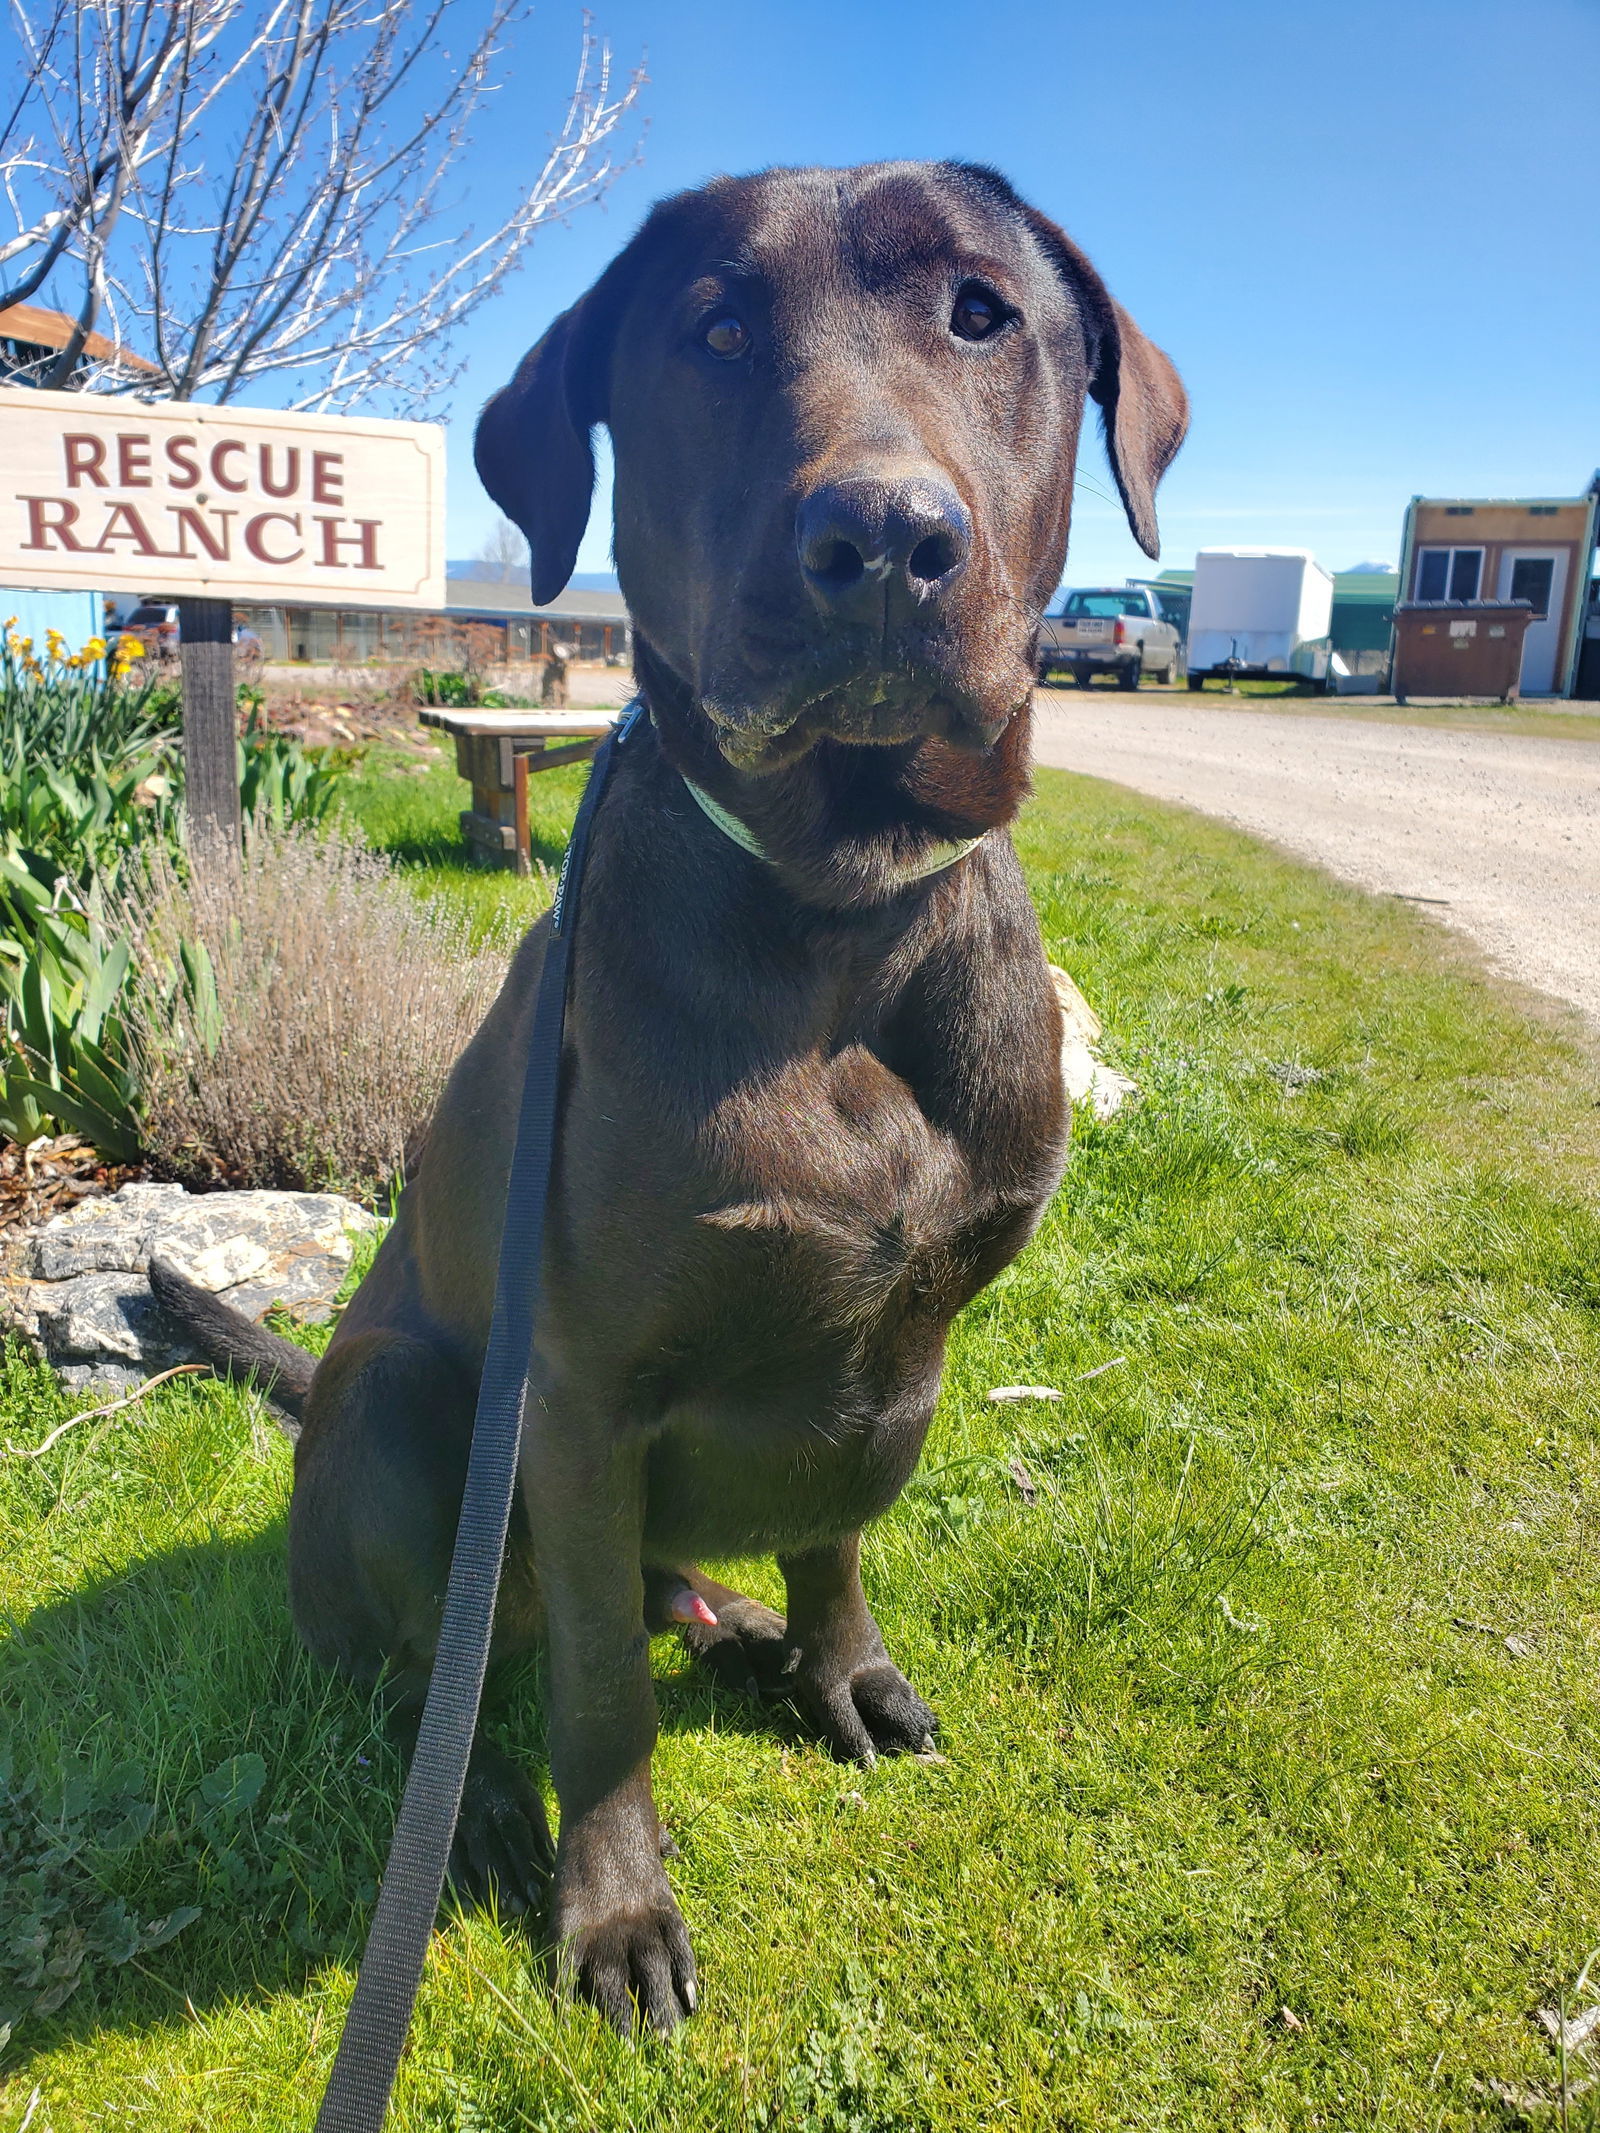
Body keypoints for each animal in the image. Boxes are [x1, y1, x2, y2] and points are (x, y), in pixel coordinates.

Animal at [160, 154, 1194, 2030]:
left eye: (984, 313)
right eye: (713, 329)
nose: (884, 541)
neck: (838, 899)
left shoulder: (908, 1350)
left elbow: (836, 1525)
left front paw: (837, 1664)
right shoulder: (574, 1399)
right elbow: (594, 1692)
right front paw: (616, 1904)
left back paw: (739, 1625)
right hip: (401, 1409)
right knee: (425, 1674)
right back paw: (487, 1807)